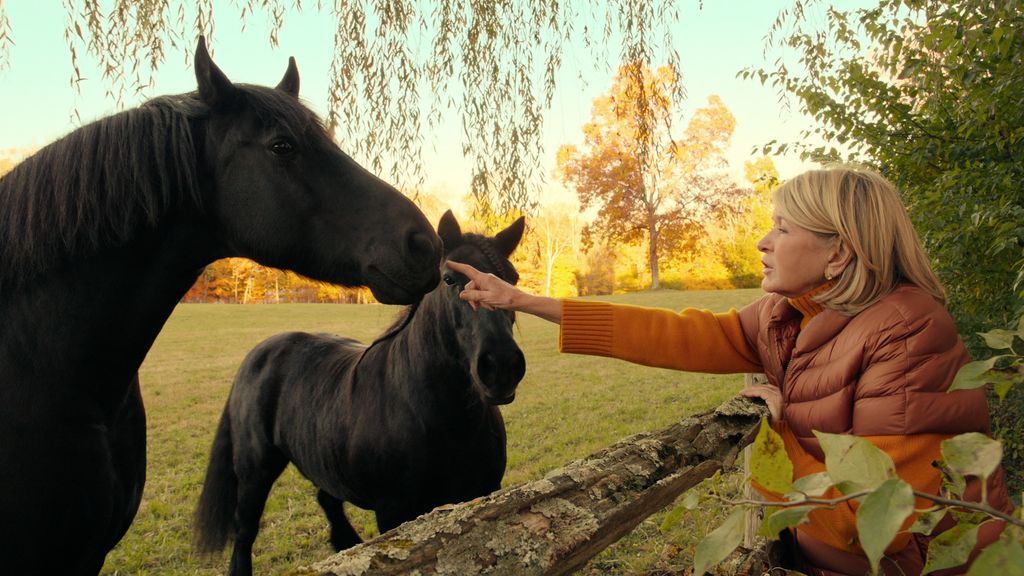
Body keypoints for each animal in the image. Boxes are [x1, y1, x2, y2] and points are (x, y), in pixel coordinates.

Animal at [193, 211, 528, 573]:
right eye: (450, 279)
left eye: (512, 280)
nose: (501, 365)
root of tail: (259, 353)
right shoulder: (395, 513)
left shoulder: (484, 493)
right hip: (255, 469)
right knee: (245, 530)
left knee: (326, 498)